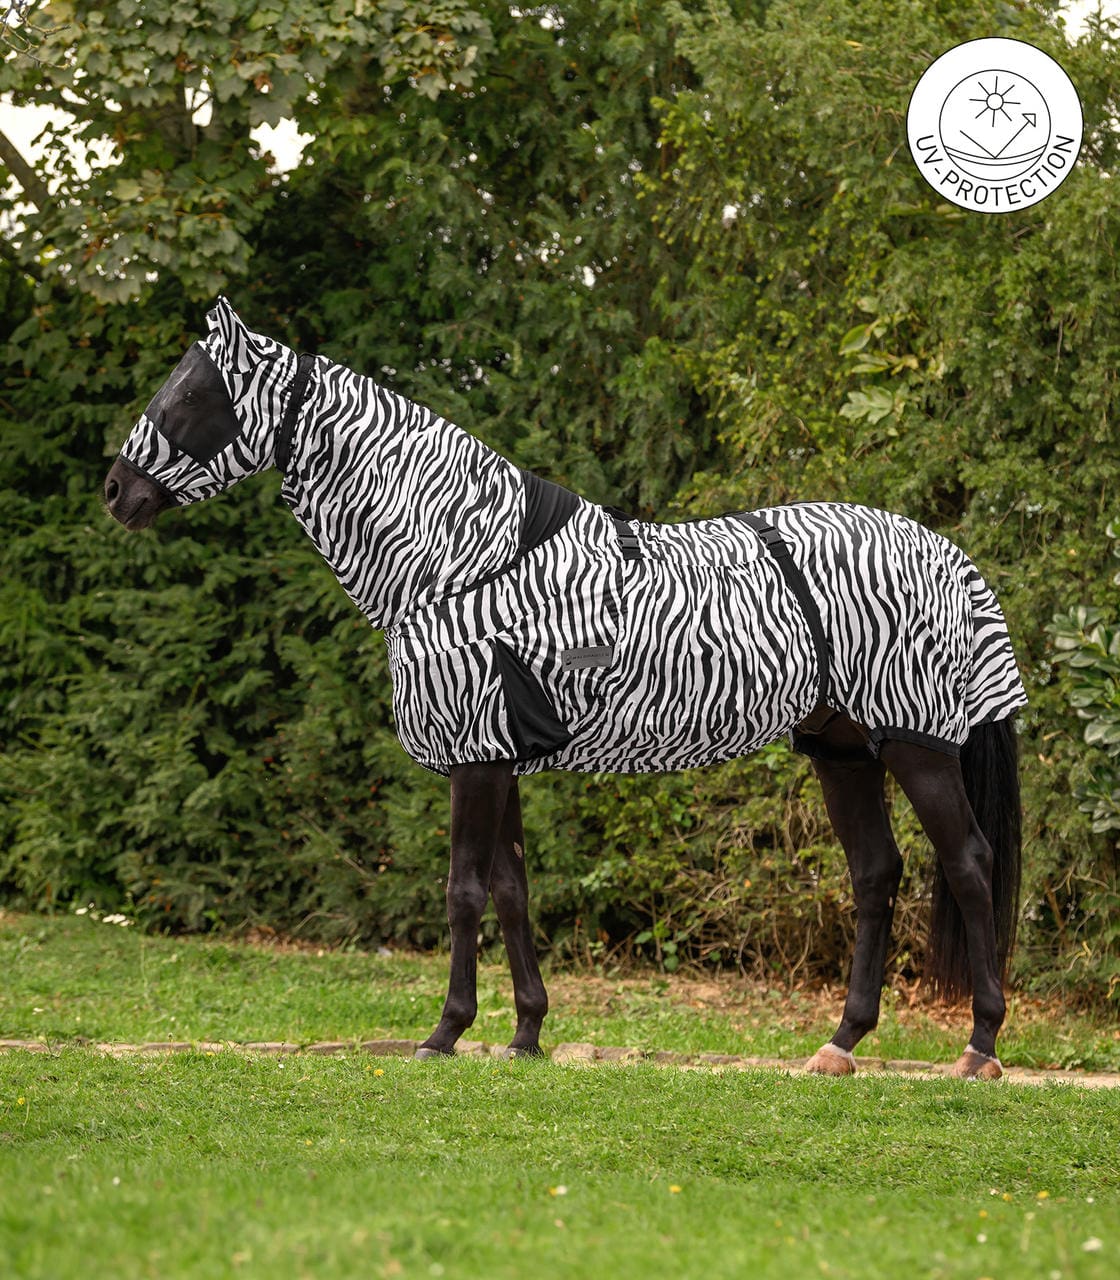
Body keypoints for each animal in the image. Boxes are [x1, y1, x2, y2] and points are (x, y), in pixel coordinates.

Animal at [105, 298, 1028, 1079]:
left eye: (191, 391)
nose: (117, 491)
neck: (460, 561)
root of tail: (946, 553)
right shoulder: (497, 756)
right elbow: (511, 894)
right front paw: (525, 1033)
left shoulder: (476, 758)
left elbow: (463, 893)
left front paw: (445, 1033)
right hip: (841, 750)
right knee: (876, 874)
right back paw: (841, 1044)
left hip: (916, 746)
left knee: (969, 864)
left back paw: (980, 1046)